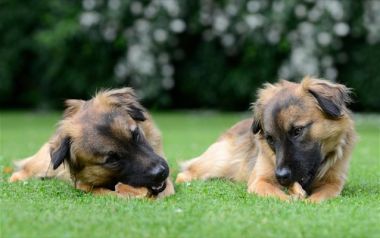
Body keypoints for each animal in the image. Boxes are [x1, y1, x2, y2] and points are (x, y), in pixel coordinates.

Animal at [177, 76, 356, 203]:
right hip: (217, 163)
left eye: (297, 131)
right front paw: (292, 198)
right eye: (270, 138)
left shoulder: (333, 183)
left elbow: (321, 196)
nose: (281, 176)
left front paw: (308, 200)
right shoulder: (259, 180)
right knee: (185, 173)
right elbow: (279, 195)